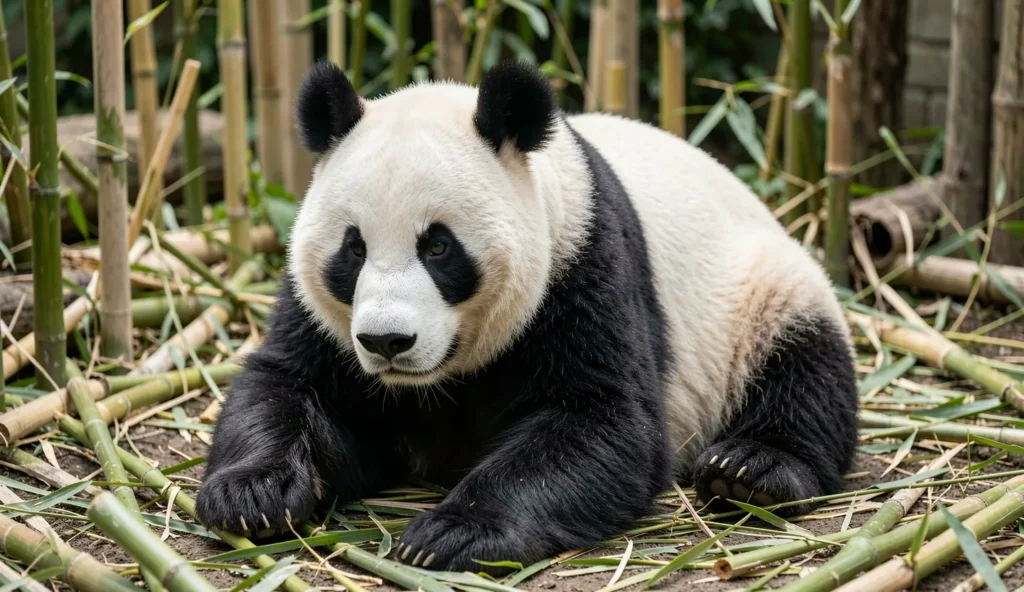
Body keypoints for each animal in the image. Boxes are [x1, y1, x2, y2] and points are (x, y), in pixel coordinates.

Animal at [196, 59, 859, 573]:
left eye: (439, 247)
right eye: (353, 248)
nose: (387, 341)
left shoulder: (582, 263)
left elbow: (600, 421)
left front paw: (452, 533)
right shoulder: (322, 320)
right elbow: (286, 385)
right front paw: (252, 492)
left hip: (763, 289)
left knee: (805, 369)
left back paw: (749, 470)